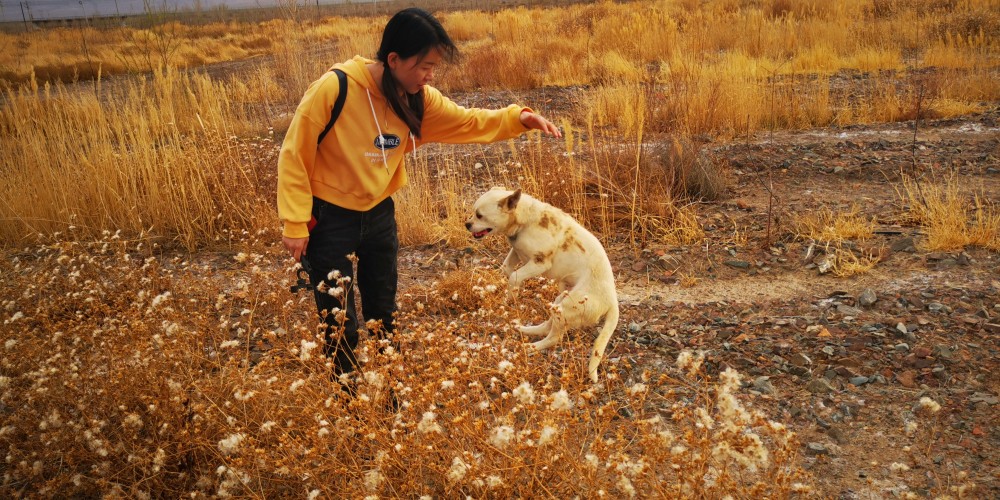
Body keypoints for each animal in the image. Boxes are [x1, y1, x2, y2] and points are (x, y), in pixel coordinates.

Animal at [466, 188, 620, 382]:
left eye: (479, 215)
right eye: (474, 213)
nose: (467, 224)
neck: (525, 221)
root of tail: (612, 301)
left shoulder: (539, 264)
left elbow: (514, 277)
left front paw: (510, 299)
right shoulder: (516, 252)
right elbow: (507, 268)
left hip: (566, 307)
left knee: (554, 338)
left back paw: (532, 347)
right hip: (560, 299)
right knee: (548, 325)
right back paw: (524, 330)